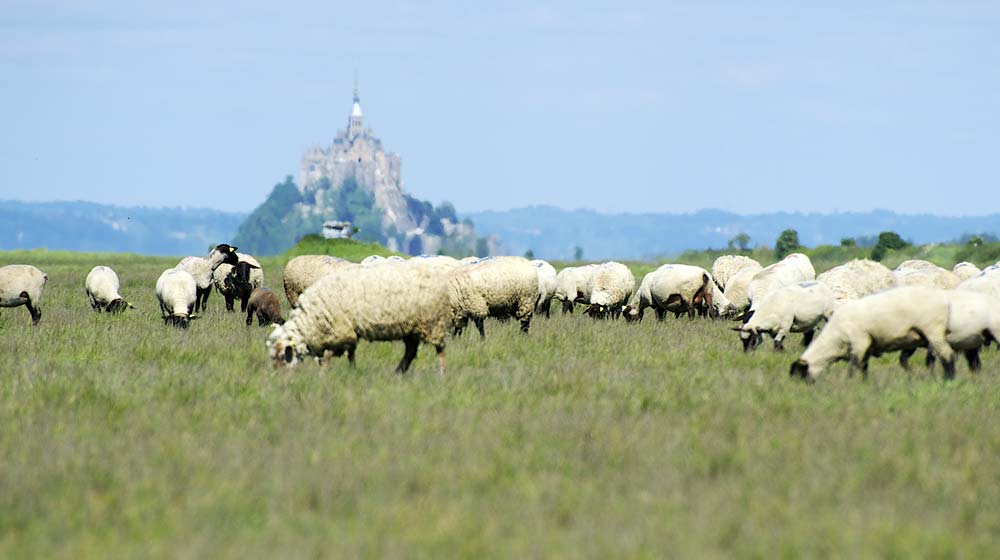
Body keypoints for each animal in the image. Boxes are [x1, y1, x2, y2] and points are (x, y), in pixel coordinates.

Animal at [268, 260, 452, 374]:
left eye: (282, 356)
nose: (281, 380)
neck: (311, 320)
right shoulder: (347, 331)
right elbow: (350, 353)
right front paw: (352, 372)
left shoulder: (339, 330)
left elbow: (329, 355)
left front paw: (323, 375)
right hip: (411, 327)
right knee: (410, 352)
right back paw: (398, 373)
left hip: (432, 323)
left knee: (440, 350)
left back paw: (442, 374)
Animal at [788, 286, 960, 382]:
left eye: (799, 375)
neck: (835, 341)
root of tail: (945, 300)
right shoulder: (867, 348)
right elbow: (864, 367)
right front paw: (863, 383)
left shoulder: (859, 343)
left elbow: (854, 366)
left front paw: (849, 382)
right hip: (918, 337)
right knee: (913, 359)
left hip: (934, 332)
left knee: (947, 356)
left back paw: (949, 379)